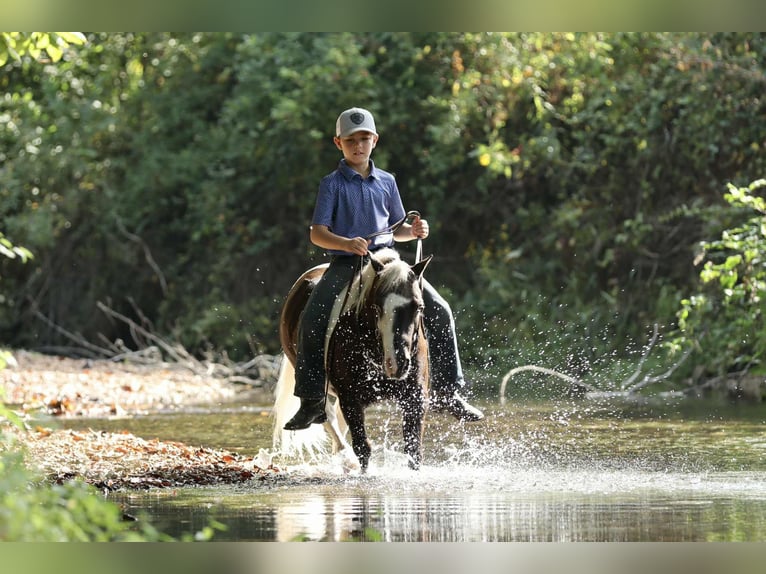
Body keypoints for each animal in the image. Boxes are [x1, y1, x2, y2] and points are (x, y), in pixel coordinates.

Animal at [273, 248, 432, 472]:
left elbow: (413, 450)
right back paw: (345, 458)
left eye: (418, 307)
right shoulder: (350, 399)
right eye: (377, 307)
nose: (397, 364)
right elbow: (363, 448)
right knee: (326, 416)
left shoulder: (415, 399)